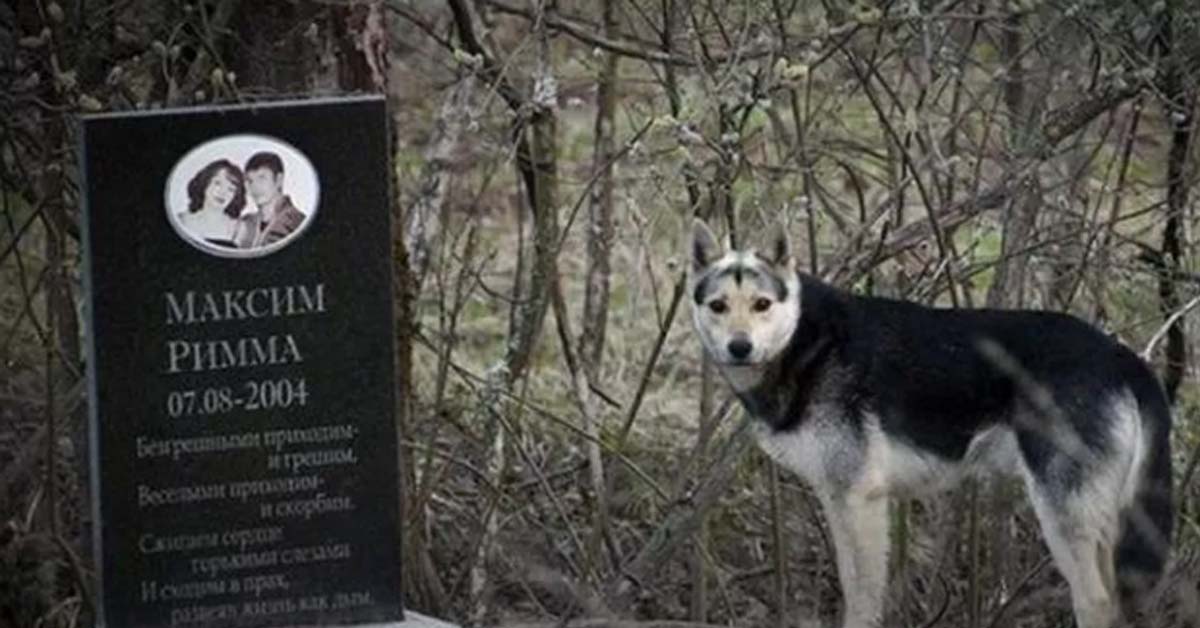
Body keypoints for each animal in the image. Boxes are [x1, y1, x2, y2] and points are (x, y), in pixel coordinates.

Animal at [691, 220, 1176, 628]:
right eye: (718, 306)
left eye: (762, 305)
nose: (739, 347)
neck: (805, 340)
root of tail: (1123, 357)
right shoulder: (837, 499)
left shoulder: (858, 500)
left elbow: (862, 599)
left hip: (1064, 516)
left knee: (1096, 602)